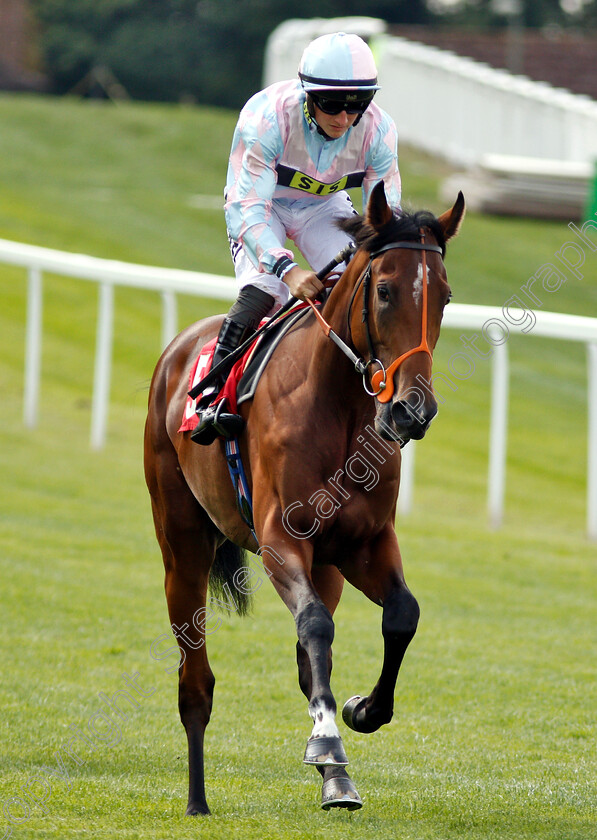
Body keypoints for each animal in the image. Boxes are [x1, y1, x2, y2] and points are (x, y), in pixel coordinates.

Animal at [144, 184, 466, 812]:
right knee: (195, 679)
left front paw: (361, 712)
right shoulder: (280, 539)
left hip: (327, 567)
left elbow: (402, 615)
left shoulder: (363, 543)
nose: (412, 411)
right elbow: (315, 627)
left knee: (307, 662)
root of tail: (180, 348)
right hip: (181, 544)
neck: (339, 408)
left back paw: (336, 773)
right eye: (385, 290)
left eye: (443, 297)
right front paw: (326, 742)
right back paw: (198, 799)